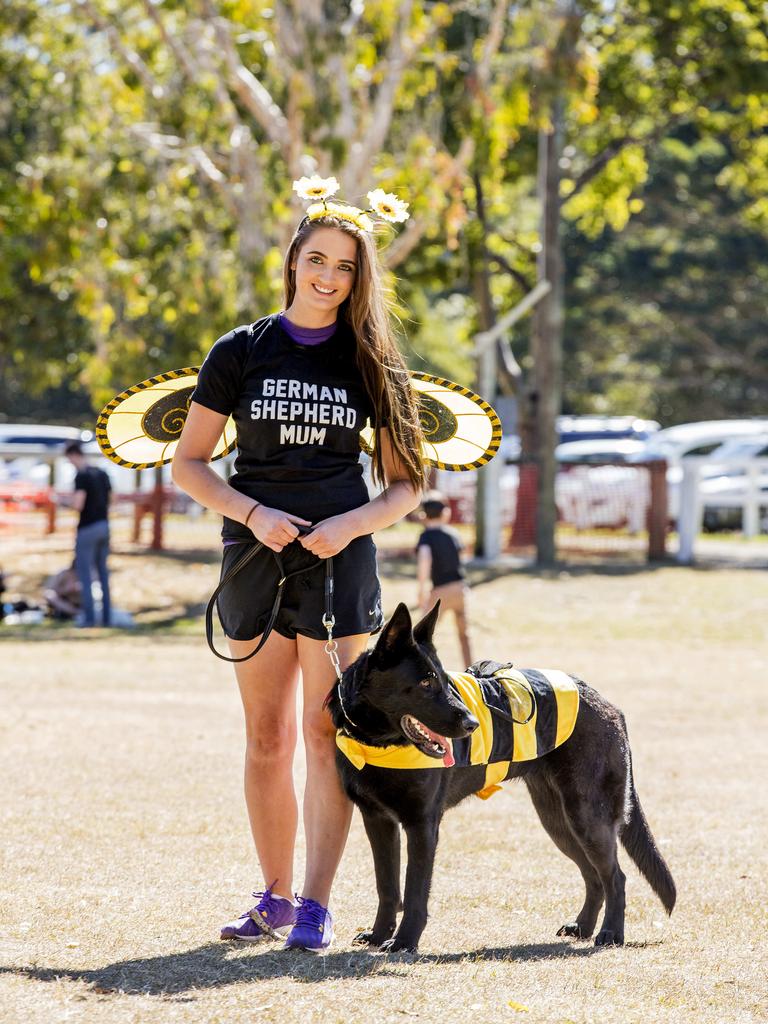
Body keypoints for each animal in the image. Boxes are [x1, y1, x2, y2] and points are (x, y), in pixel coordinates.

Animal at [327, 598, 675, 950]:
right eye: (425, 683)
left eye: (445, 681)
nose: (472, 724)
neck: (377, 743)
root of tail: (608, 705)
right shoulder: (378, 821)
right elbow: (386, 885)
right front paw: (379, 934)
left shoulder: (422, 825)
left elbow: (414, 891)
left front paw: (404, 942)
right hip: (559, 822)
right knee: (594, 877)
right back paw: (583, 927)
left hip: (587, 819)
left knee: (615, 876)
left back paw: (611, 933)